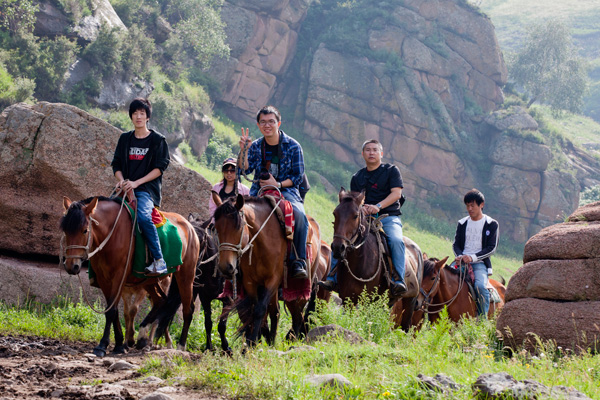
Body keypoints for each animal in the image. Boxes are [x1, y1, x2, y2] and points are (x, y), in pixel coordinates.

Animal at [59, 197, 199, 356]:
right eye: (65, 230)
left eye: (84, 230)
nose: (72, 266)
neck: (112, 233)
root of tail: (190, 227)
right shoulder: (104, 279)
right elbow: (114, 310)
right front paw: (120, 344)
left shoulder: (119, 277)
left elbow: (111, 311)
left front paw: (102, 345)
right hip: (150, 281)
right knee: (161, 300)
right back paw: (142, 334)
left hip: (186, 275)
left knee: (188, 309)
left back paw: (181, 345)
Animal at [212, 194, 322, 346]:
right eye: (216, 228)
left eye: (238, 228)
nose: (225, 267)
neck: (263, 241)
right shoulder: (250, 282)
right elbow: (256, 310)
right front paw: (253, 341)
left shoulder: (272, 280)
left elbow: (260, 310)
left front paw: (250, 343)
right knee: (276, 312)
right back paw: (271, 342)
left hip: (299, 288)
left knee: (297, 316)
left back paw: (290, 345)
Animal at [330, 190, 424, 332]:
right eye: (335, 213)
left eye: (355, 216)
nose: (337, 247)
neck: (360, 262)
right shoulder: (348, 299)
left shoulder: (368, 301)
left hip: (410, 301)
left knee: (405, 327)